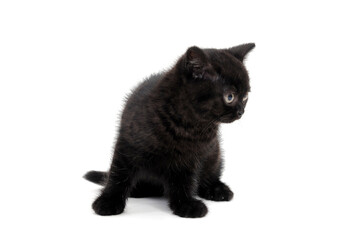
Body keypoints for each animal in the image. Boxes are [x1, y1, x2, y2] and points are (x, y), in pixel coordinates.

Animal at [84, 43, 255, 218]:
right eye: (230, 97)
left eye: (245, 97)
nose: (241, 112)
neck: (188, 125)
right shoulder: (127, 143)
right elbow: (118, 174)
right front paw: (108, 201)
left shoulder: (191, 157)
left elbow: (185, 181)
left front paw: (185, 204)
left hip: (215, 154)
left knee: (210, 175)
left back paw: (217, 189)